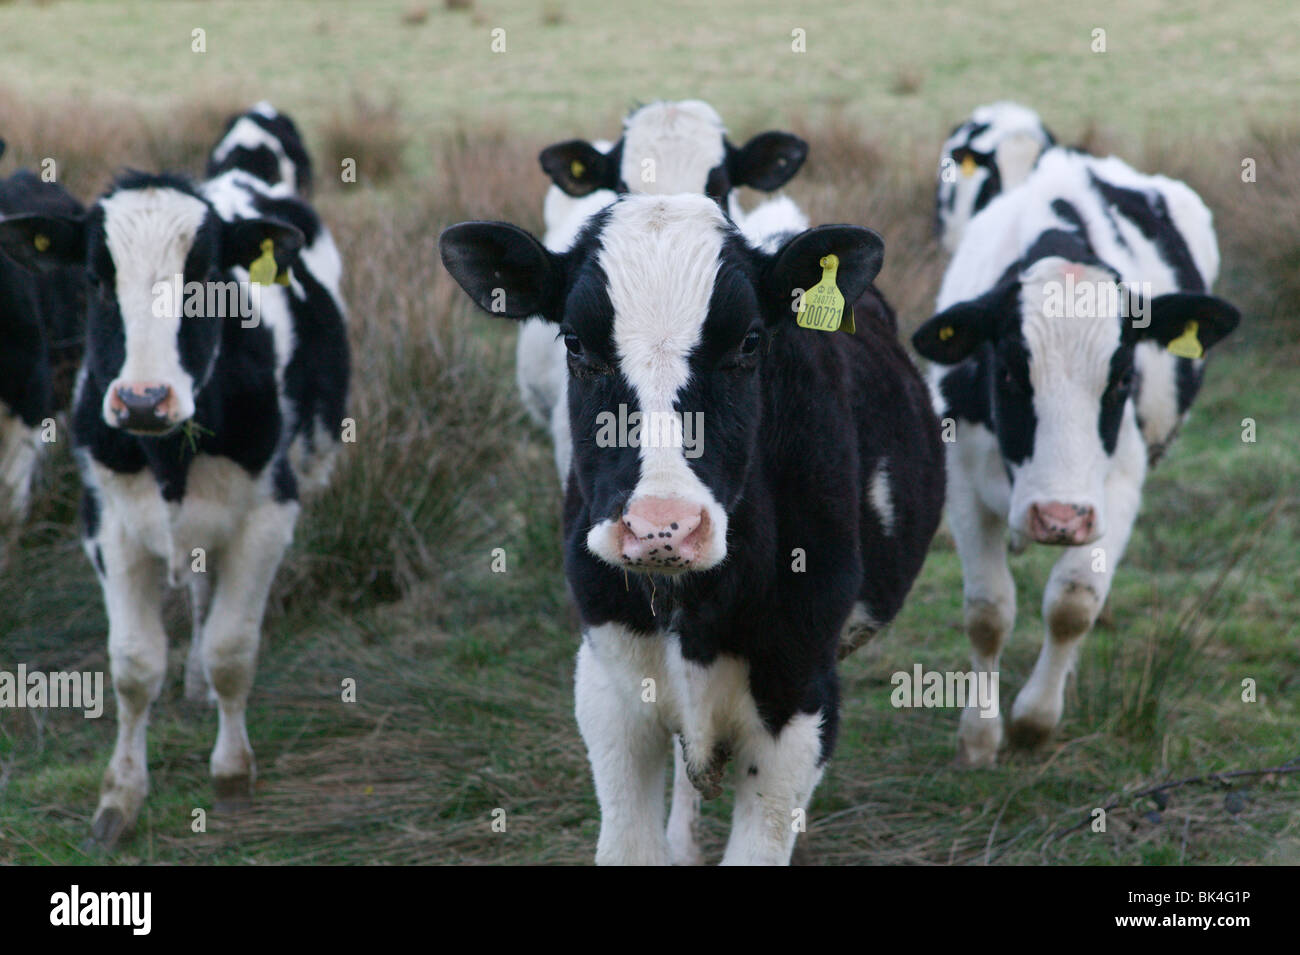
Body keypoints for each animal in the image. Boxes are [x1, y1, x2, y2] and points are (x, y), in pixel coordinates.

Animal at [0, 167, 349, 847]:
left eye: (209, 275)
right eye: (94, 278)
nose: (142, 399)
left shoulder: (269, 515)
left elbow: (232, 650)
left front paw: (233, 774)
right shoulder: (108, 524)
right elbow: (135, 666)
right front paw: (118, 800)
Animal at [440, 193, 945, 864]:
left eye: (751, 341)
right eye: (573, 343)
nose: (663, 528)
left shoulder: (800, 695)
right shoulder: (608, 685)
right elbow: (630, 844)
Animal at [911, 147, 1239, 768]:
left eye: (1122, 379)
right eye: (1008, 373)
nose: (1058, 517)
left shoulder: (1118, 486)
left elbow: (1072, 604)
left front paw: (1035, 720)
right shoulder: (961, 479)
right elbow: (988, 612)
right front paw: (979, 737)